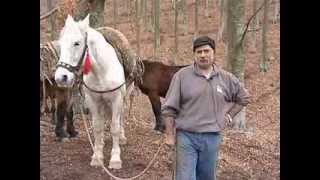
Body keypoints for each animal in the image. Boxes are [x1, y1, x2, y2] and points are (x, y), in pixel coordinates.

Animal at [54, 14, 127, 169]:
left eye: (77, 43)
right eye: (61, 44)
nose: (61, 77)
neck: (102, 71)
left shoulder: (116, 99)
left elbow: (115, 127)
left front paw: (115, 159)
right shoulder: (93, 100)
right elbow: (98, 127)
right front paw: (97, 156)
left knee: (120, 118)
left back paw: (122, 138)